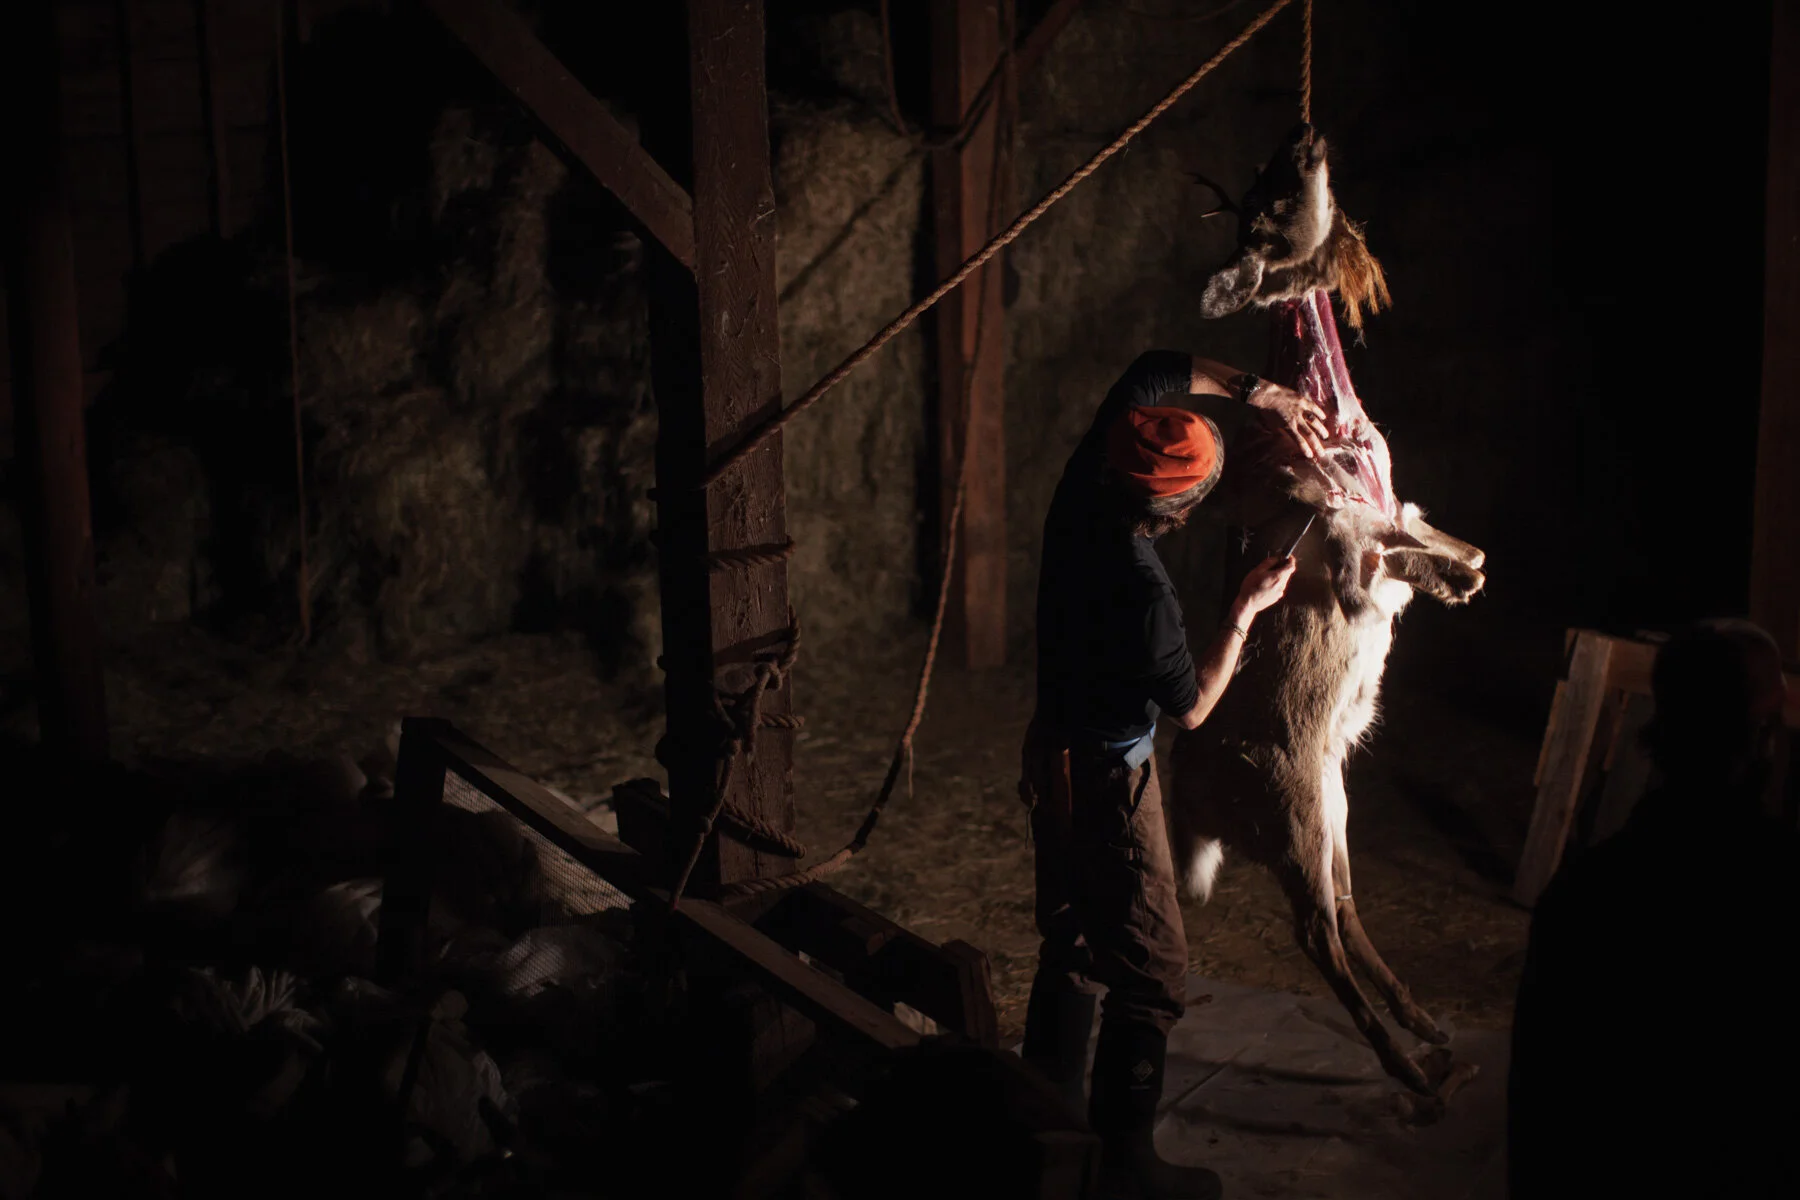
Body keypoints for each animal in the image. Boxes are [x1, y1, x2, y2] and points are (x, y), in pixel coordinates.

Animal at [1169, 125, 1487, 1102]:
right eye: (1266, 207)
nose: (1306, 137)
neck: (1334, 419)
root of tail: (1197, 804)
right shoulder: (1339, 536)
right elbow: (1380, 555)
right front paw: (1457, 580)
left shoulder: (1393, 502)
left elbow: (1439, 536)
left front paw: (1466, 574)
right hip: (1293, 809)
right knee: (1315, 931)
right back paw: (1410, 1069)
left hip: (1330, 805)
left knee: (1344, 911)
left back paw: (1428, 1030)